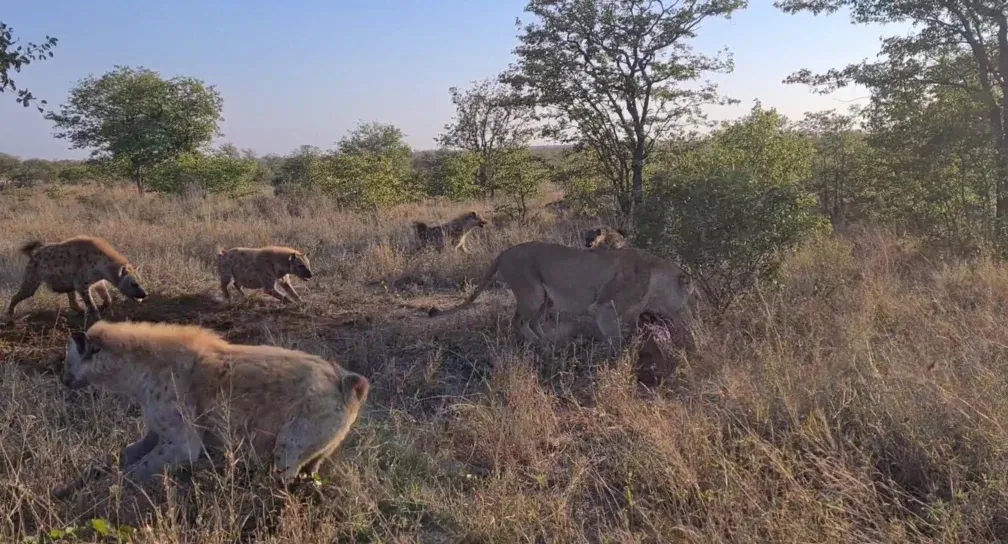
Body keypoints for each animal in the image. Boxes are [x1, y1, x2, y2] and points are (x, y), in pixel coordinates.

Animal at [5, 235, 147, 322]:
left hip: (67, 282)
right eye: (134, 284)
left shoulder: (98, 281)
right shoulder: (82, 284)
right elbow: (91, 303)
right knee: (20, 294)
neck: (100, 263)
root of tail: (34, 255)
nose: (145, 294)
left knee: (72, 301)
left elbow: (107, 298)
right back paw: (10, 314)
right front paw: (97, 318)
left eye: (141, 282)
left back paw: (81, 311)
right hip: (32, 277)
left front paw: (102, 307)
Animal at [56, 320, 370, 491]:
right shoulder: (156, 431)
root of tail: (346, 381)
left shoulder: (180, 441)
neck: (141, 372)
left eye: (68, 361)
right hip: (318, 452)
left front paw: (102, 495)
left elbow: (135, 471)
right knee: (310, 476)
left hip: (291, 445)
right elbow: (121, 456)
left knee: (283, 478)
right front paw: (70, 488)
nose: (62, 378)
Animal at [427, 241, 694, 349]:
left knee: (533, 321)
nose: (688, 322)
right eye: (688, 300)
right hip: (532, 293)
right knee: (518, 321)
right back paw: (539, 344)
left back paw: (549, 342)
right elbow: (615, 338)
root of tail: (505, 252)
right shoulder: (603, 307)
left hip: (546, 299)